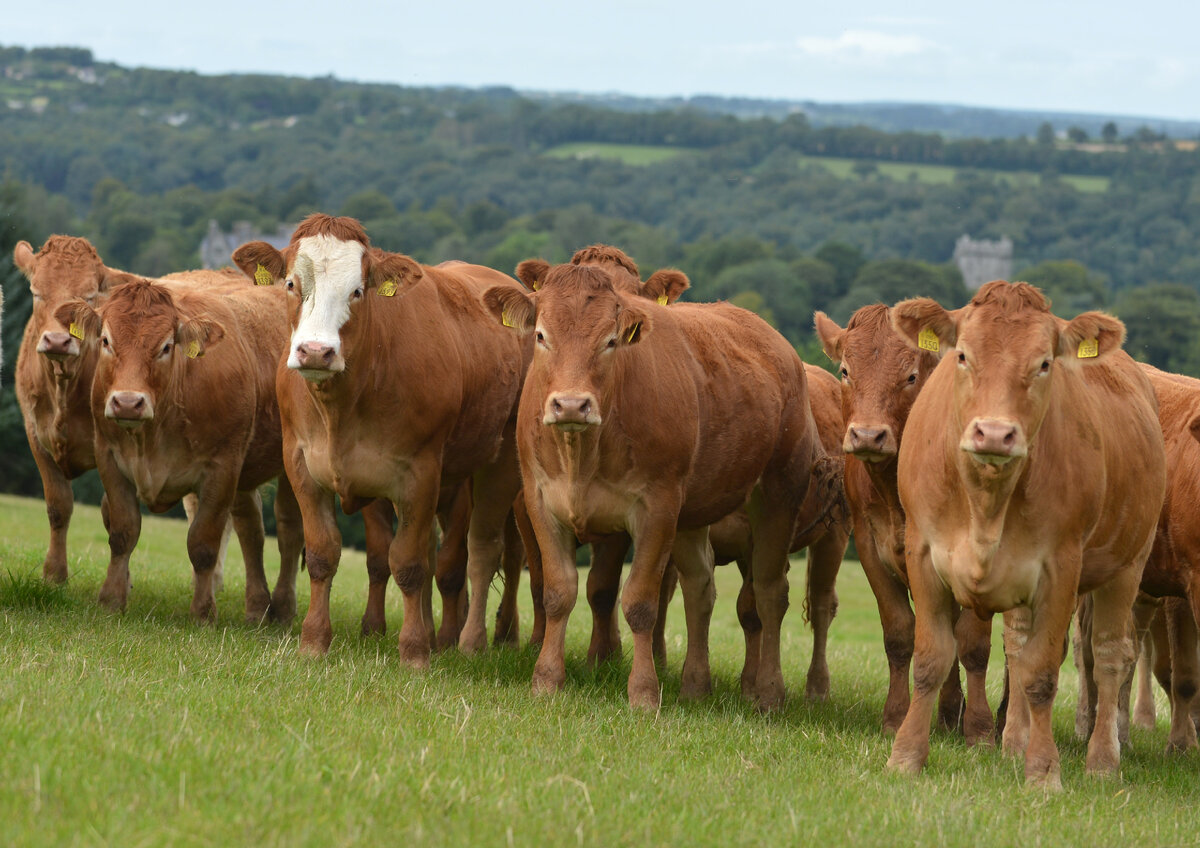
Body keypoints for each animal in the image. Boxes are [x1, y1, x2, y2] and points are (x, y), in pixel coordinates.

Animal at [56, 275, 304, 621]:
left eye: (165, 346)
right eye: (105, 340)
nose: (128, 402)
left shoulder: (222, 468)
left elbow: (203, 543)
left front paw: (203, 612)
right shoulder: (109, 457)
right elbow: (122, 532)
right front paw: (111, 599)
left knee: (289, 531)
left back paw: (282, 609)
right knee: (251, 530)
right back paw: (257, 607)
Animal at [231, 214, 528, 666]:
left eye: (357, 291)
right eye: (291, 284)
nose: (315, 352)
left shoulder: (420, 474)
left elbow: (408, 563)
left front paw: (415, 652)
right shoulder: (307, 466)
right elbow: (330, 555)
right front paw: (317, 640)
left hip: (498, 465)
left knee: (480, 552)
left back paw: (466, 641)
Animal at [484, 261, 835, 710]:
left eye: (611, 341)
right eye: (542, 336)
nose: (571, 405)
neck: (582, 452)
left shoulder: (657, 509)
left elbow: (639, 603)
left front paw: (644, 693)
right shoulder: (540, 502)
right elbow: (558, 592)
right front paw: (546, 680)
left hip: (778, 493)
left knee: (771, 592)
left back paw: (769, 693)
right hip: (695, 513)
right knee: (701, 588)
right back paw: (696, 684)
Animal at [815, 305, 994, 743]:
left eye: (911, 376)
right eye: (845, 370)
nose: (868, 435)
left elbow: (974, 644)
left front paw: (981, 727)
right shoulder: (870, 547)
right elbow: (900, 634)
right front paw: (896, 716)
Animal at [885, 280, 1164, 788]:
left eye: (1044, 363)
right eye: (962, 356)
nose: (995, 434)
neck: (985, 502)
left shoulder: (1061, 568)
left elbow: (1042, 675)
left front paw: (1044, 771)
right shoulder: (922, 552)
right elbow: (931, 660)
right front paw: (906, 757)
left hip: (1128, 565)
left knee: (1110, 656)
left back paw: (1102, 761)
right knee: (1016, 646)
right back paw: (1013, 742)